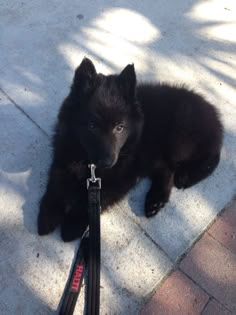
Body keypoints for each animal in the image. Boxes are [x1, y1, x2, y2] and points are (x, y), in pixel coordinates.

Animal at [37, 57, 223, 242]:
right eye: (92, 126)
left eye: (119, 127)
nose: (107, 162)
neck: (88, 162)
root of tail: (211, 111)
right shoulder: (62, 159)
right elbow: (55, 184)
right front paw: (48, 215)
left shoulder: (121, 176)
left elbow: (97, 199)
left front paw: (74, 223)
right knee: (167, 169)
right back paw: (155, 201)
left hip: (179, 139)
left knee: (210, 157)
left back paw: (185, 177)